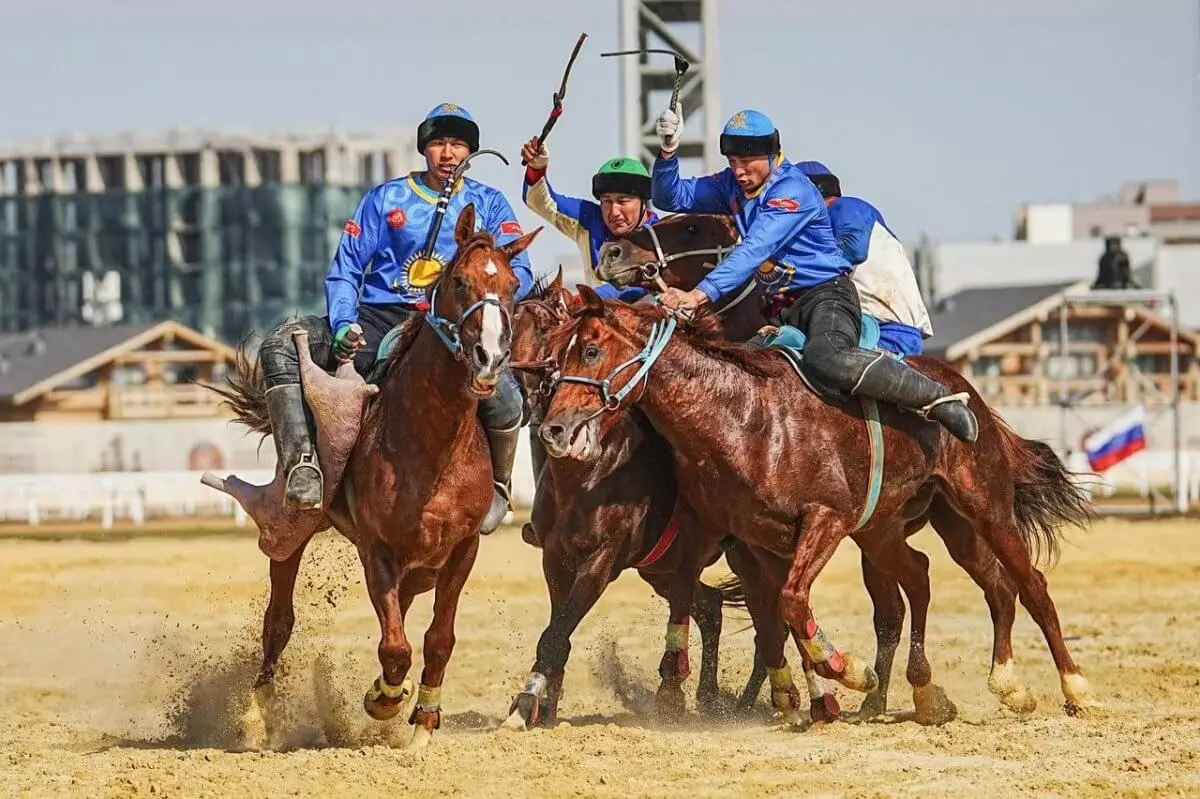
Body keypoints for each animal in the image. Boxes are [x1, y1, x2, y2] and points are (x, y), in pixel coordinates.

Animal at [208, 206, 542, 748]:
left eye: (513, 285)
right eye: (460, 281)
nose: (490, 357)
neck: (431, 446)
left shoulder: (462, 551)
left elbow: (437, 639)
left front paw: (424, 718)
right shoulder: (378, 551)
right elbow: (395, 646)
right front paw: (383, 699)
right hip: (295, 530)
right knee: (279, 620)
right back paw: (257, 717)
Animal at [501, 271, 811, 724]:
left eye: (548, 332)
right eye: (509, 331)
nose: (550, 425)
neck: (585, 474)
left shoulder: (601, 563)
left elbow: (557, 634)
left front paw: (525, 706)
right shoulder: (555, 560)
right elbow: (558, 633)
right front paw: (545, 708)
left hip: (747, 557)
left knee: (767, 623)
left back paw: (749, 703)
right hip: (662, 568)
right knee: (712, 607)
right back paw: (710, 698)